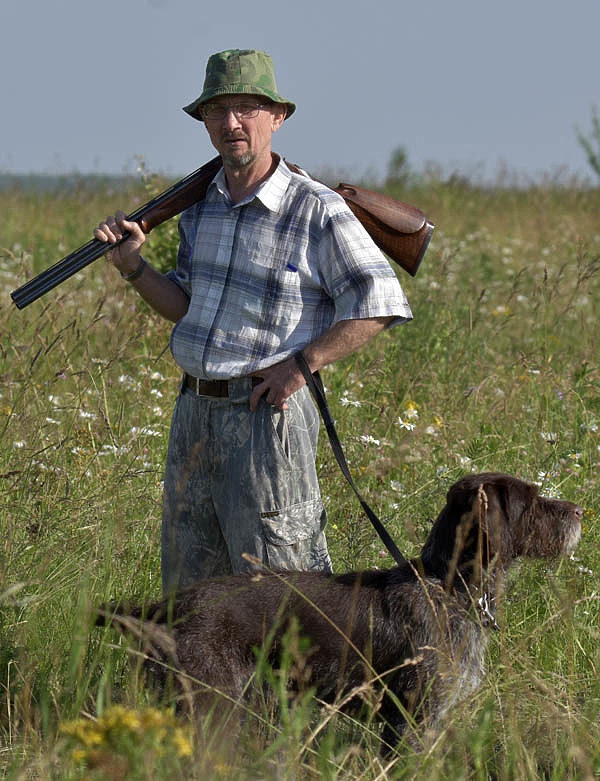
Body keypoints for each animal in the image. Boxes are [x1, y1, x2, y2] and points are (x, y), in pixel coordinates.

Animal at [98, 472, 580, 752]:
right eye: (532, 500)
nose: (578, 510)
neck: (449, 588)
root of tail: (168, 606)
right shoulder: (414, 718)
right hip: (212, 703)